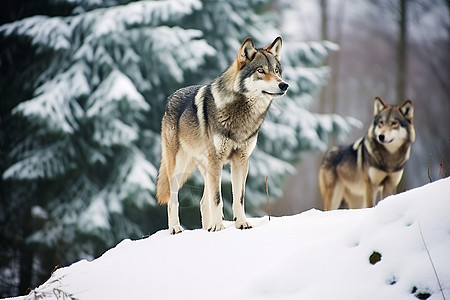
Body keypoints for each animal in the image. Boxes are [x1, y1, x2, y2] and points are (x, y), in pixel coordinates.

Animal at [155, 37, 288, 234]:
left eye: (276, 71)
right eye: (260, 71)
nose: (284, 85)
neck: (240, 114)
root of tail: (170, 98)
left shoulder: (241, 160)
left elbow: (238, 198)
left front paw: (241, 223)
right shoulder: (217, 160)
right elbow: (217, 198)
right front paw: (218, 226)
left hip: (205, 168)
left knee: (203, 202)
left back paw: (206, 228)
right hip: (179, 168)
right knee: (174, 201)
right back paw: (176, 228)